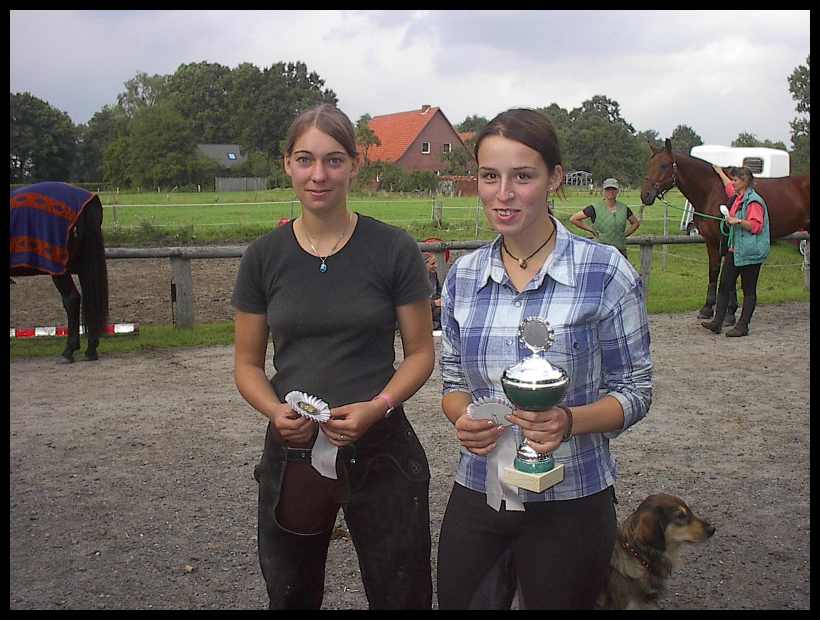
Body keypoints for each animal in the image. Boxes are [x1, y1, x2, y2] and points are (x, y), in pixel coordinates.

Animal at [640, 139, 810, 322]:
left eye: (664, 165)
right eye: (649, 164)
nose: (645, 195)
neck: (711, 191)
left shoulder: (725, 239)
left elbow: (728, 275)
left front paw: (727, 312)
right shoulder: (711, 241)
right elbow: (714, 271)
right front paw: (709, 309)